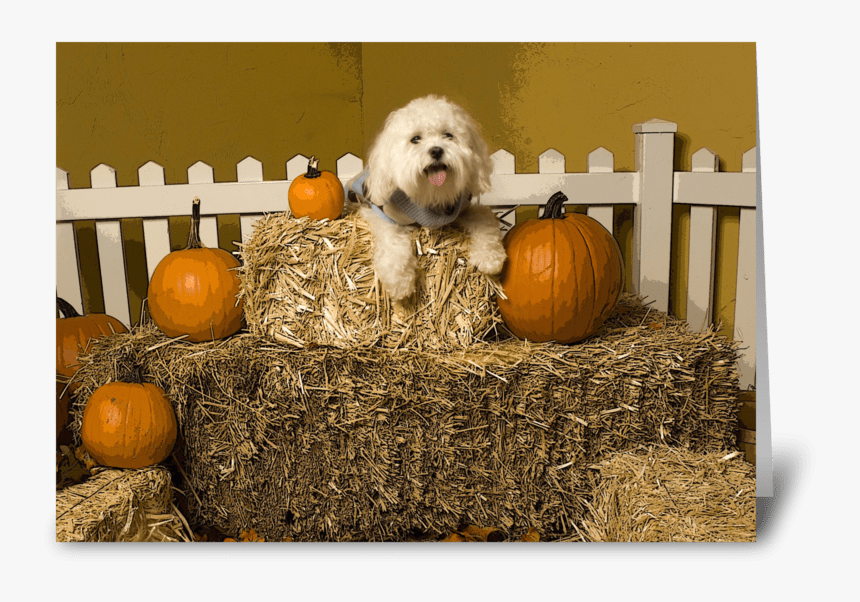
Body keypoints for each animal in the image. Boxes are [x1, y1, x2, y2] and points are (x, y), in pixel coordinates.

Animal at [350, 95, 508, 302]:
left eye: (448, 135)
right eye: (415, 139)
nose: (436, 150)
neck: (430, 196)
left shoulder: (462, 210)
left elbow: (485, 219)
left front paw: (490, 256)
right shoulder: (380, 214)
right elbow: (393, 241)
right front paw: (399, 281)